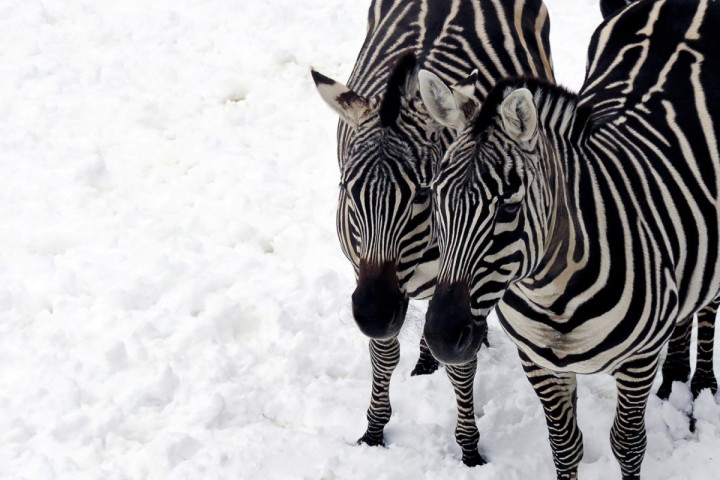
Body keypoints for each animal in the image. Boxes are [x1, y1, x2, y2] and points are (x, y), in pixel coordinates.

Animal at [308, 0, 552, 466]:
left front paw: (469, 447)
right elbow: (384, 354)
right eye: (347, 188)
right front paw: (374, 430)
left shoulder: (459, 271)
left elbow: (461, 365)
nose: (371, 314)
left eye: (422, 192)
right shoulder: (363, 269)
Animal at [420, 0, 720, 476]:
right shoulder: (540, 361)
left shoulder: (638, 362)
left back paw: (703, 384)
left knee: (710, 302)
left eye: (508, 207)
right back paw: (674, 378)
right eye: (435, 196)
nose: (443, 338)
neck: (553, 297)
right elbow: (564, 444)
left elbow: (628, 444)